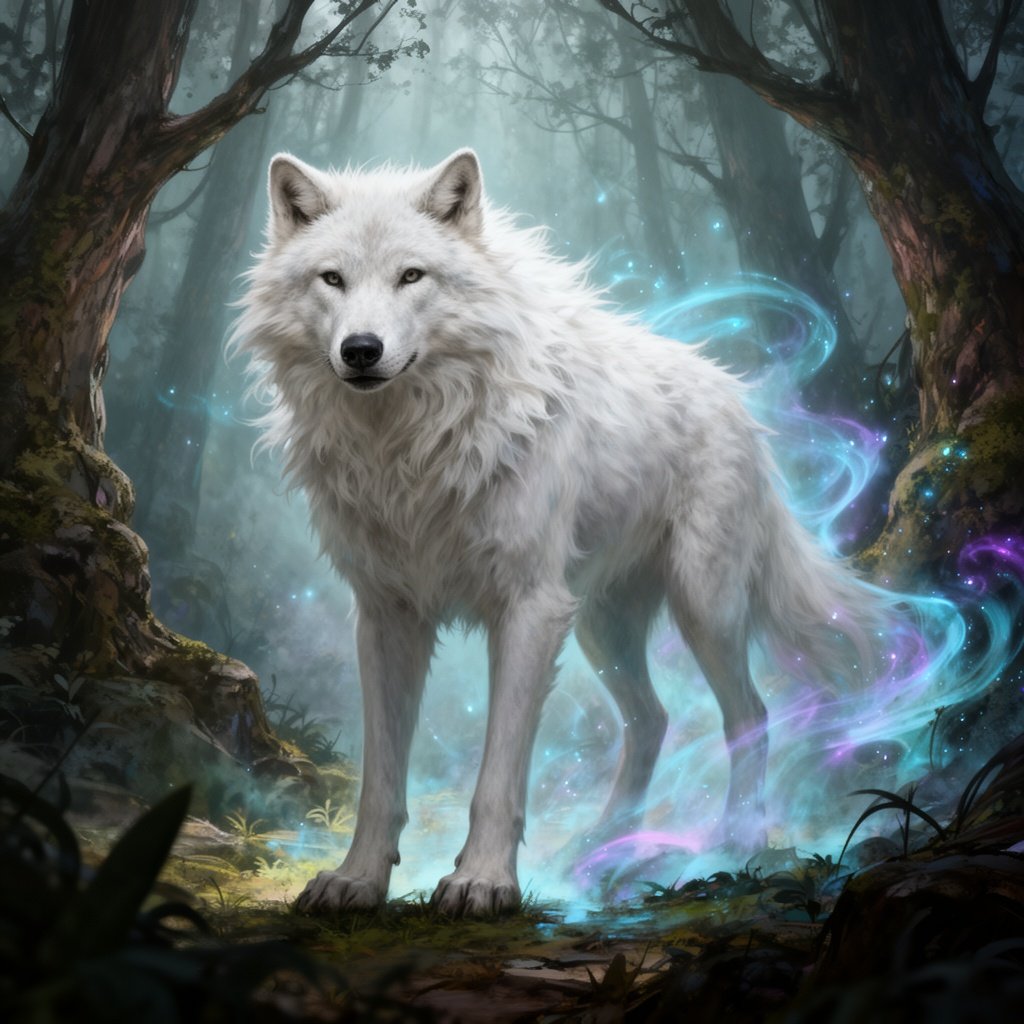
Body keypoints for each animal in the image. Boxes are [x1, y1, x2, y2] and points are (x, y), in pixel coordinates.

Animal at [232, 148, 879, 917]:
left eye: (411, 276)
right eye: (332, 278)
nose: (361, 350)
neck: (409, 446)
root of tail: (737, 398)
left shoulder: (530, 608)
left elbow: (498, 776)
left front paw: (481, 882)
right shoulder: (388, 616)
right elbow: (380, 777)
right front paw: (357, 880)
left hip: (703, 606)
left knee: (750, 714)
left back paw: (736, 841)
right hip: (603, 626)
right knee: (652, 720)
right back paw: (598, 847)